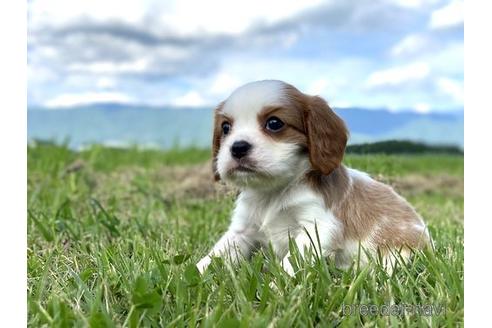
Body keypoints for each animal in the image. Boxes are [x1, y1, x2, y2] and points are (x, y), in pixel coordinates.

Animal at [196, 80, 430, 276]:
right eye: (226, 127)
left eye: (274, 123)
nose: (237, 147)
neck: (273, 191)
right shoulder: (242, 230)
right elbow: (215, 255)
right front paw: (193, 276)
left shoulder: (317, 226)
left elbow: (290, 263)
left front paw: (275, 287)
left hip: (399, 254)